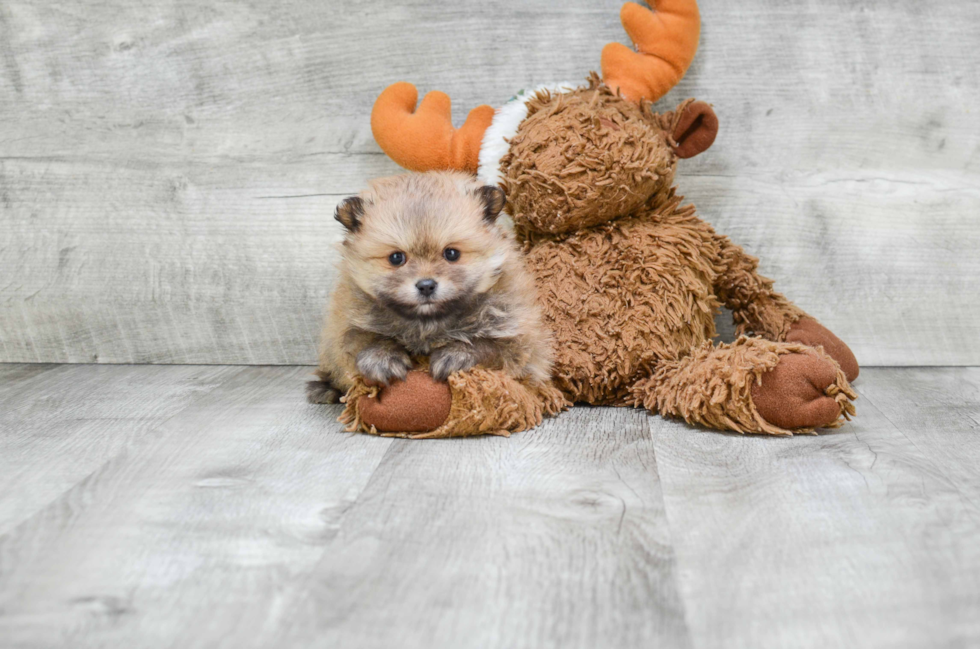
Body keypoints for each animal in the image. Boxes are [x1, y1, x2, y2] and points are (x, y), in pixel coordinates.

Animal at [308, 170, 552, 402]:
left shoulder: (522, 341)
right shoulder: (343, 326)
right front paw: (382, 357)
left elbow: (489, 346)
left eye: (451, 253)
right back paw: (325, 388)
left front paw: (457, 355)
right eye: (396, 258)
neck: (427, 324)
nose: (426, 285)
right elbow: (361, 338)